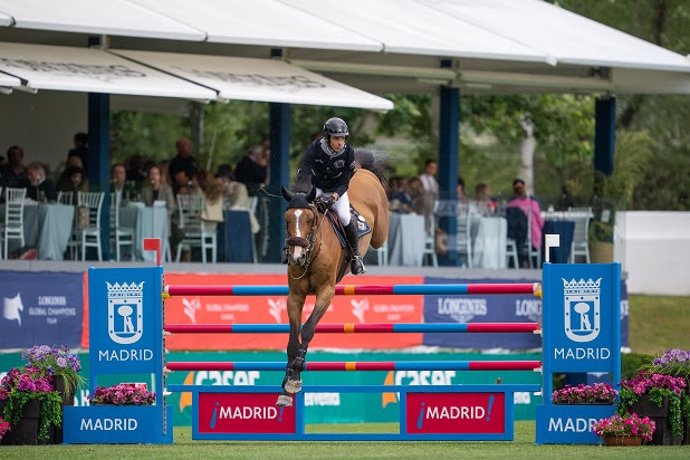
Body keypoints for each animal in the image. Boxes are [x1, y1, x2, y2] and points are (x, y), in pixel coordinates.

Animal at [276, 157, 388, 406]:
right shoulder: (295, 296)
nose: (296, 256)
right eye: (286, 220)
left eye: (310, 220)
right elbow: (293, 338)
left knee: (380, 236)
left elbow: (308, 328)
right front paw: (287, 385)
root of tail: (362, 171)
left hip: (380, 231)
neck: (313, 250)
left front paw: (296, 374)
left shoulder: (326, 292)